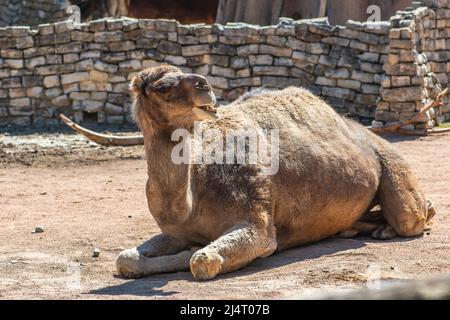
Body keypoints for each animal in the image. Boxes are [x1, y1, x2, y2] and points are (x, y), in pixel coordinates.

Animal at [61, 65, 434, 280]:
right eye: (164, 86)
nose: (205, 84)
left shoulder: (257, 222)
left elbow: (202, 259)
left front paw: (195, 255)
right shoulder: (175, 231)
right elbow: (125, 259)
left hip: (388, 161)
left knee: (412, 217)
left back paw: (397, 224)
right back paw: (359, 228)